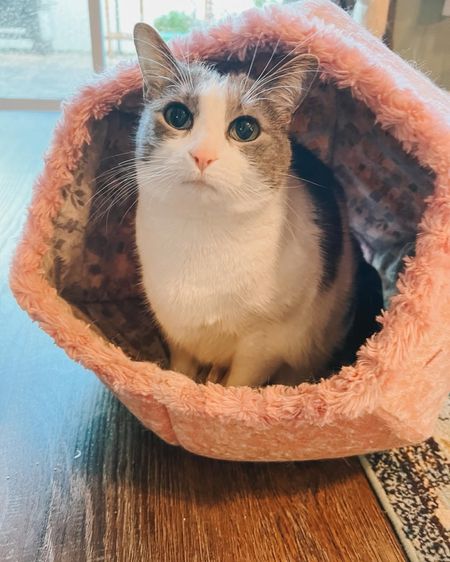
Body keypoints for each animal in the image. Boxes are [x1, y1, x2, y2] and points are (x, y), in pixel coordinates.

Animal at [133, 24, 372, 388]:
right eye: (177, 116)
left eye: (245, 129)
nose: (203, 155)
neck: (203, 236)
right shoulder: (174, 328)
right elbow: (181, 371)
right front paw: (179, 386)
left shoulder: (264, 344)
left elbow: (239, 384)